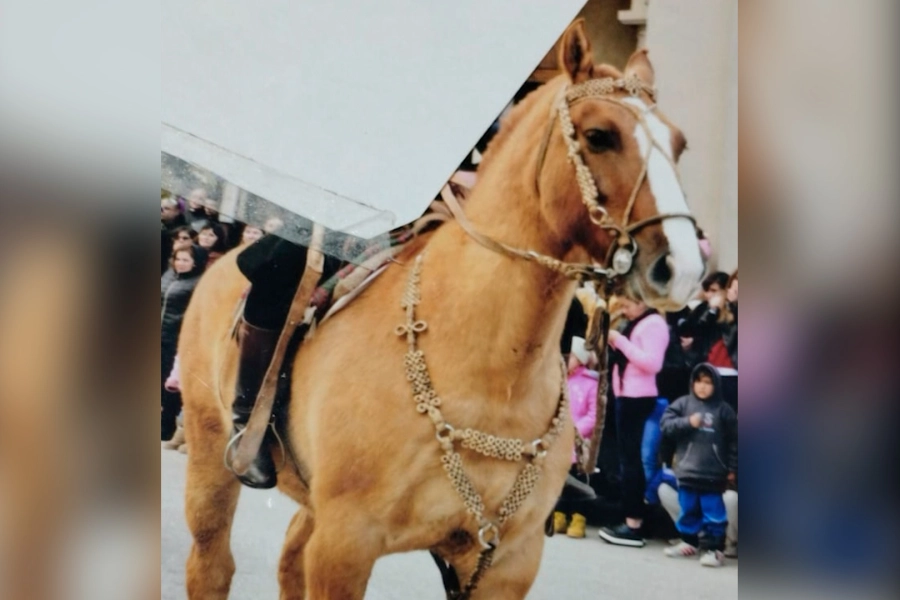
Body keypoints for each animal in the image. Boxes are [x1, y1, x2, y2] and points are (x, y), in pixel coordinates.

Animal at [178, 19, 705, 600]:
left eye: (679, 145)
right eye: (599, 136)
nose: (681, 267)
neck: (494, 374)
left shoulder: (507, 561)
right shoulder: (346, 542)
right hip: (210, 452)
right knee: (212, 565)